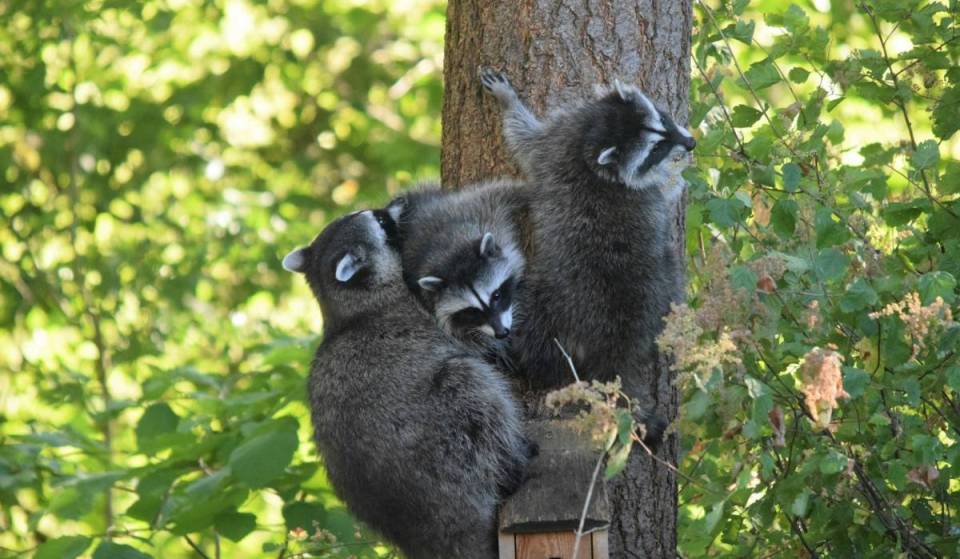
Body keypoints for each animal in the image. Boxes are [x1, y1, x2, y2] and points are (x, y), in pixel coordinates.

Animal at [283, 209, 532, 559]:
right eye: (381, 222)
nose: (396, 205)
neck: (345, 305)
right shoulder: (423, 314)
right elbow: (471, 344)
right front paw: (502, 343)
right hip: (445, 442)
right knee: (473, 389)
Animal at [387, 180, 528, 366]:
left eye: (496, 295)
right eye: (471, 311)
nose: (501, 333)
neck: (451, 255)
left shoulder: (481, 211)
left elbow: (500, 192)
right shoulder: (422, 296)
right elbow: (462, 337)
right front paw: (496, 346)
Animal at [479, 68, 694, 417]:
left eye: (664, 122)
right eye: (654, 150)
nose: (691, 143)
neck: (595, 134)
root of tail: (617, 345)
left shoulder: (559, 142)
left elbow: (526, 142)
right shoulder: (558, 141)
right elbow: (524, 140)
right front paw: (509, 102)